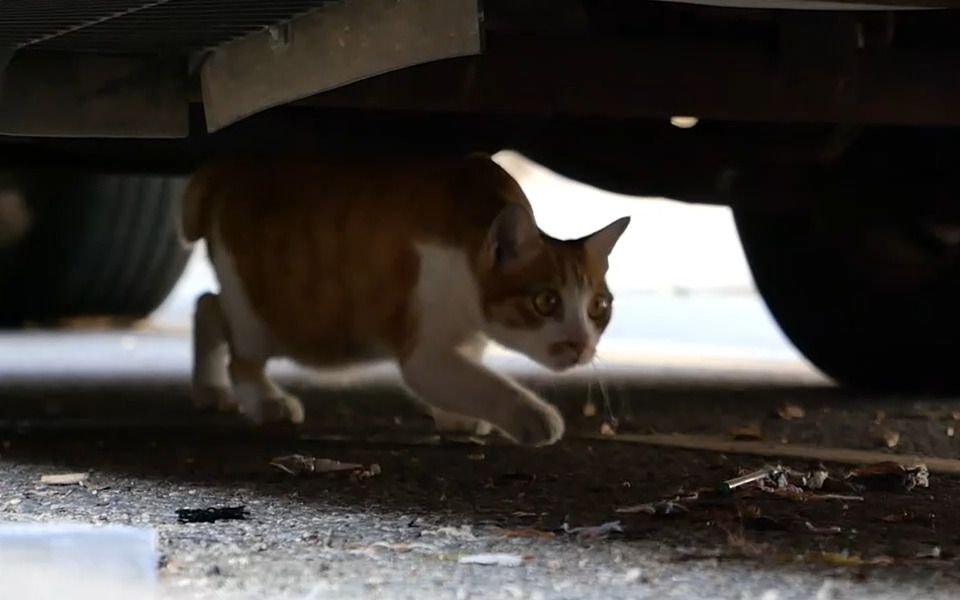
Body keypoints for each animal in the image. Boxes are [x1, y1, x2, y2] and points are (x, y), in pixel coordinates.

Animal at [180, 155, 632, 446]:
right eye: (546, 301)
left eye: (598, 307)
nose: (581, 344)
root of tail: (228, 170)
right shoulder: (425, 351)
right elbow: (479, 381)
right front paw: (532, 416)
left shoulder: (466, 334)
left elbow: (466, 373)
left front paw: (457, 416)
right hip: (263, 313)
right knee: (240, 355)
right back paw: (266, 400)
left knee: (207, 305)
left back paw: (209, 389)